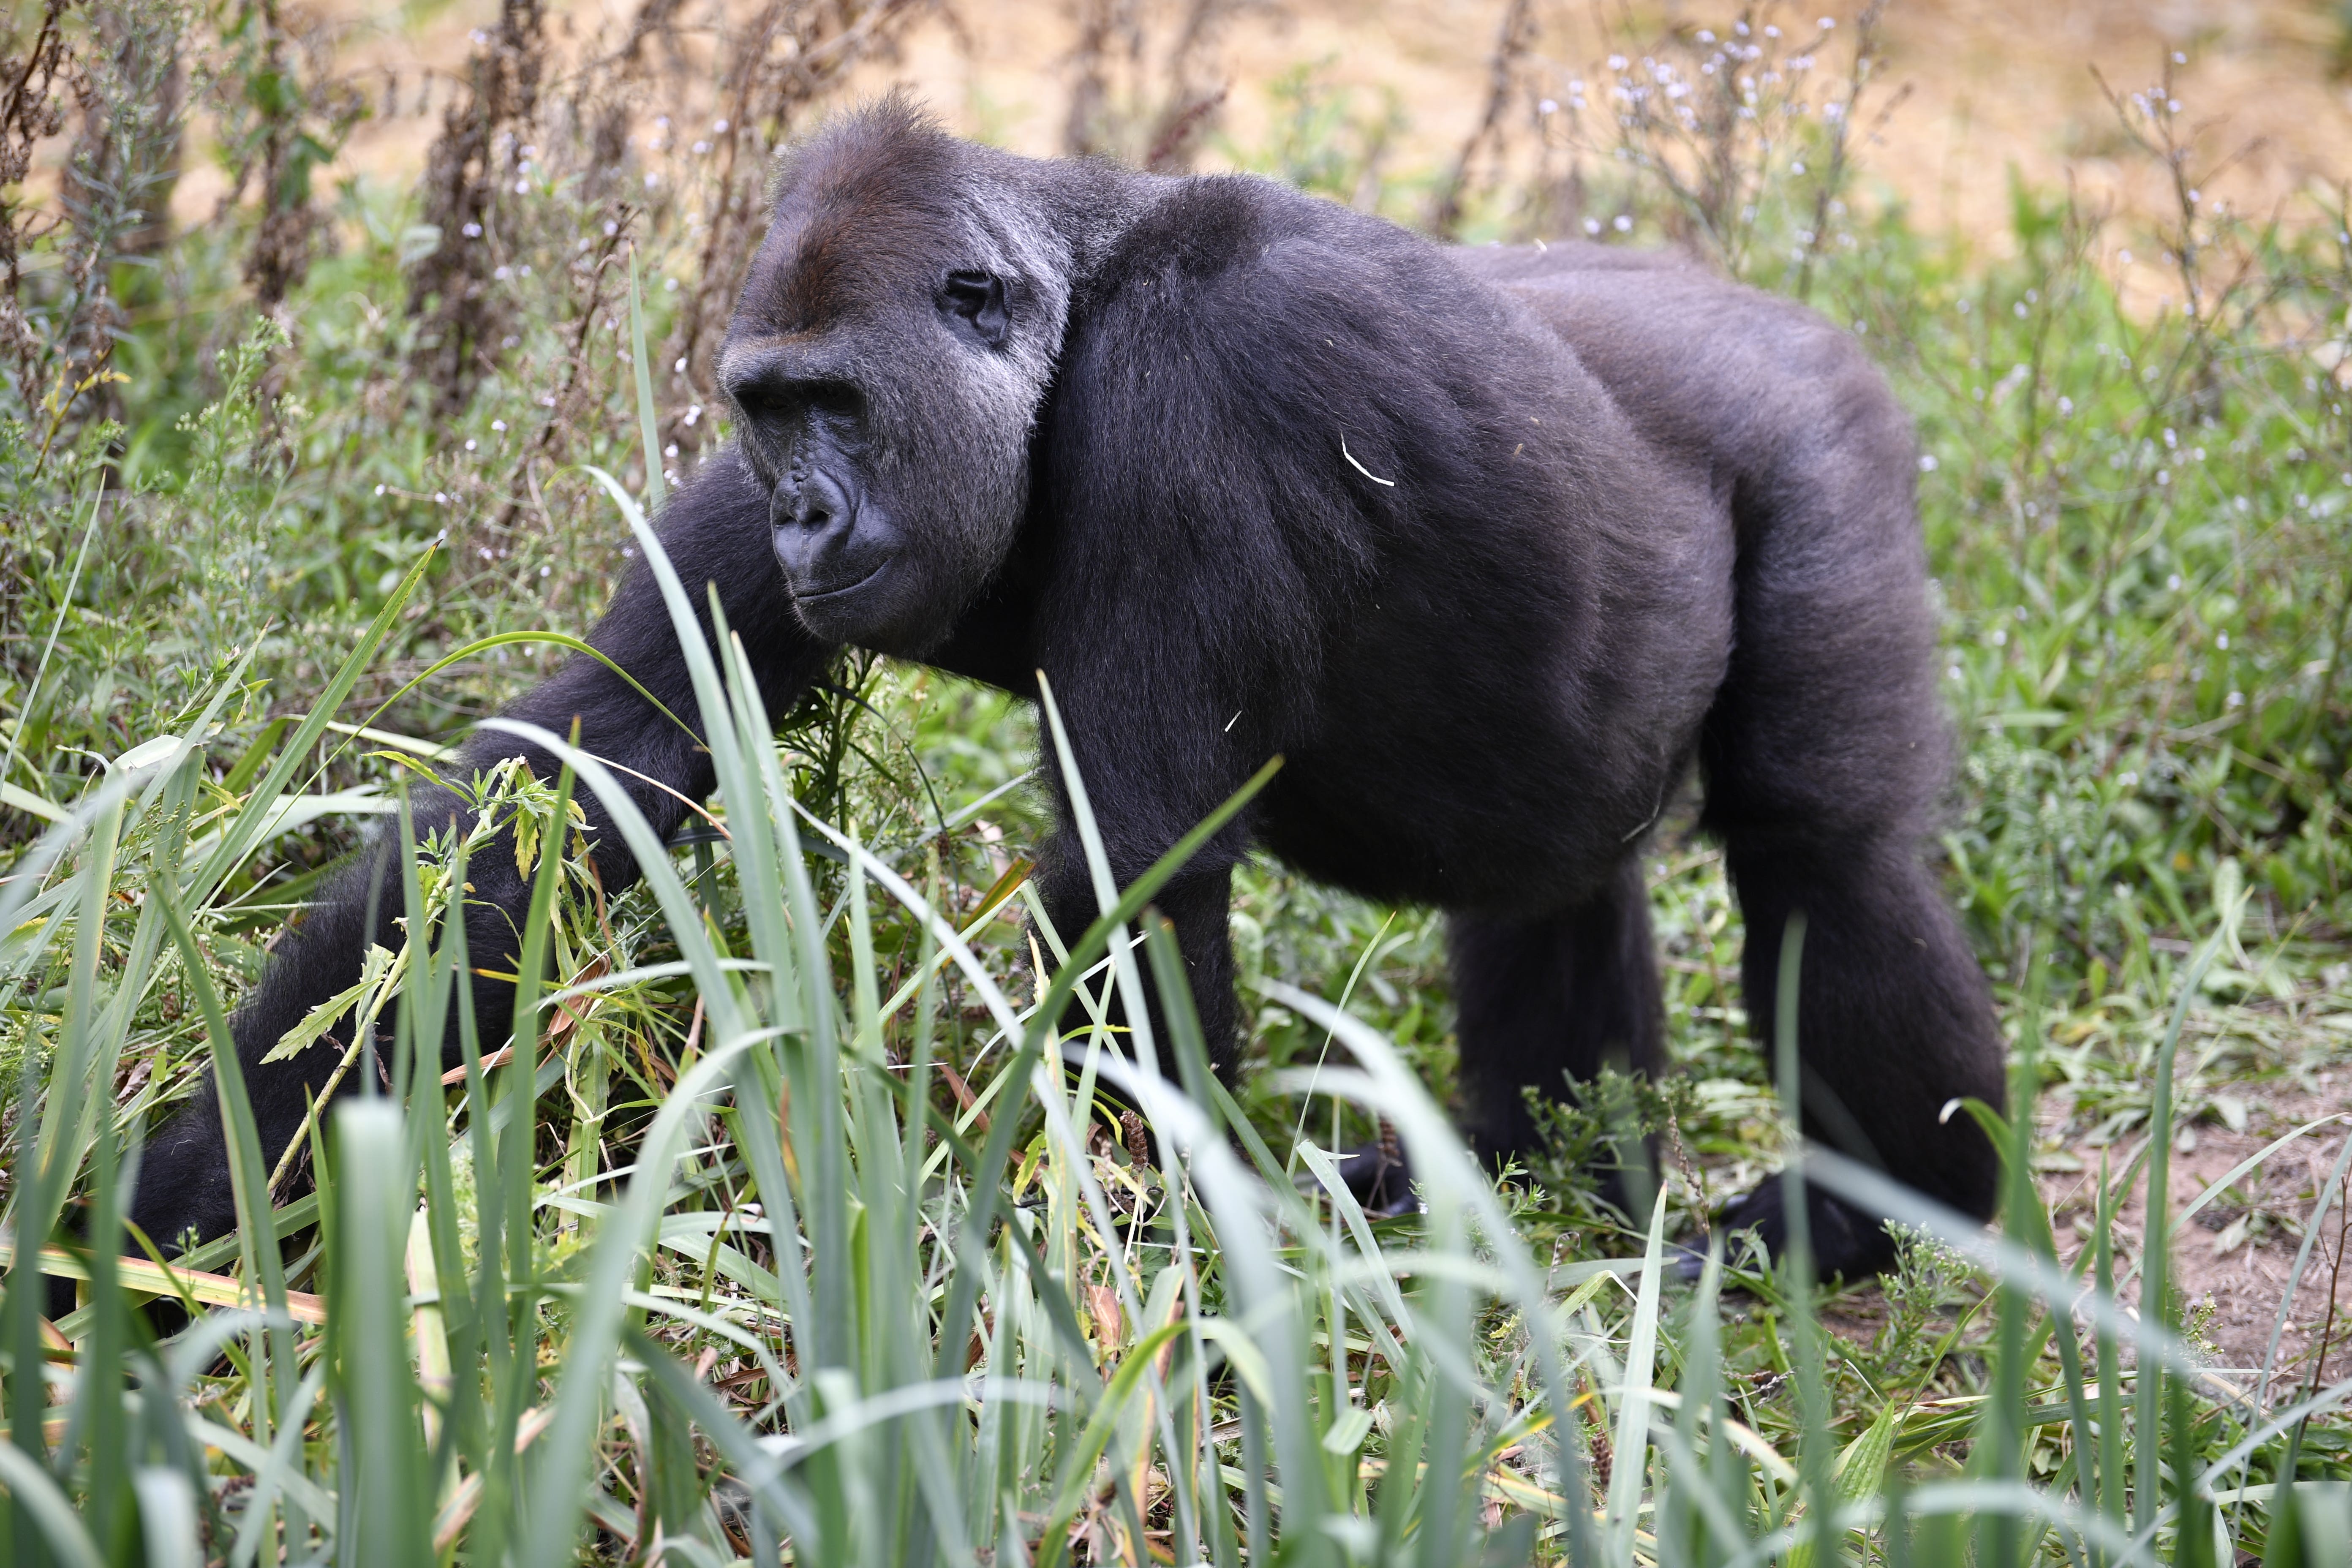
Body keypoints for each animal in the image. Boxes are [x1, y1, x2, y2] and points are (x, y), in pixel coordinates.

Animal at [128, 98, 2004, 1279]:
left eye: (842, 406)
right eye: (771, 411)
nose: (808, 513)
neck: (1079, 291)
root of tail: (1760, 304)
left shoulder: (1189, 392)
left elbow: (1141, 874)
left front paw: (1136, 1254)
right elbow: (576, 781)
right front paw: (176, 1195)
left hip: (1825, 440)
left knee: (1828, 856)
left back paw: (1884, 1219)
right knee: (1552, 876)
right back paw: (1531, 1172)